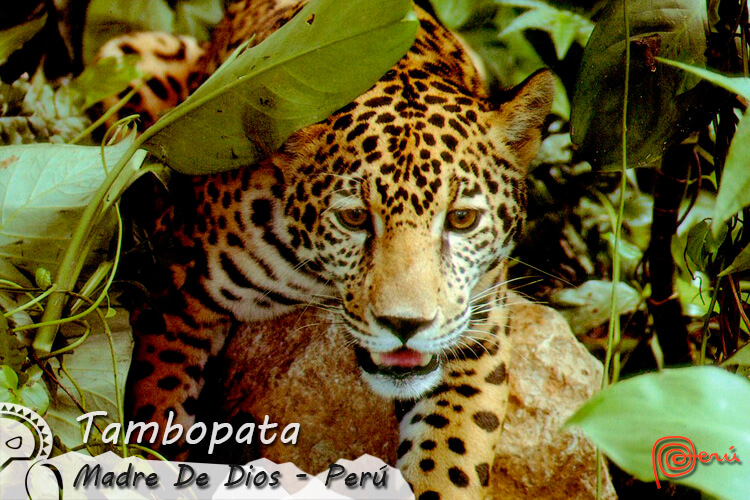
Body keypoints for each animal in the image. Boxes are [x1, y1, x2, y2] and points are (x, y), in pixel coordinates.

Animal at [98, 0, 554, 498]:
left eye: (462, 219)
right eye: (353, 218)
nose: (405, 325)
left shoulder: (477, 332)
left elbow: (452, 460)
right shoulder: (175, 293)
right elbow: (157, 411)